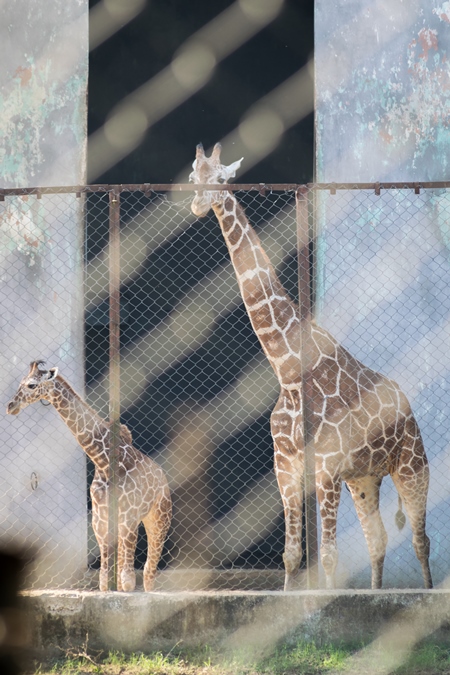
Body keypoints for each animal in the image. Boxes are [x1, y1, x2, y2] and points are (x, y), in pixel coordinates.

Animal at [7, 360, 172, 592]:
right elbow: (105, 573)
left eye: (31, 385)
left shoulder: (129, 512)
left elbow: (128, 576)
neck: (103, 461)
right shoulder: (100, 516)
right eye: (21, 382)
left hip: (160, 515)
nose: (10, 406)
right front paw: (108, 588)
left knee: (150, 567)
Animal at [189, 144, 432, 592]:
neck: (287, 370)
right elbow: (291, 554)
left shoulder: (326, 467)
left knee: (421, 539)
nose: (198, 205)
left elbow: (329, 557)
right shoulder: (286, 466)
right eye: (194, 179)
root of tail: (407, 405)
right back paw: (375, 592)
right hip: (364, 478)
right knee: (377, 538)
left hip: (411, 465)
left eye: (222, 179)